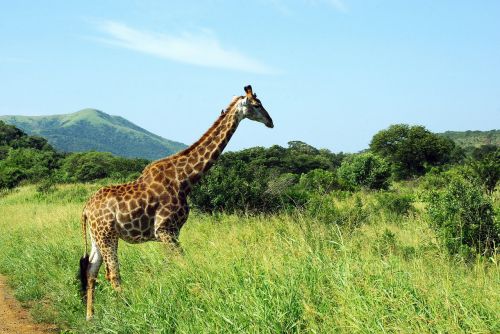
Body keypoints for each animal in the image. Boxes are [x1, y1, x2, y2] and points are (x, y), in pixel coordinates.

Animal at [79, 85, 274, 320]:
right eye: (257, 104)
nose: (271, 122)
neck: (185, 179)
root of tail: (86, 209)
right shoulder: (165, 229)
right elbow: (183, 263)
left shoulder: (172, 232)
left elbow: (170, 266)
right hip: (107, 235)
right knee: (113, 273)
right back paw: (124, 310)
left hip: (97, 236)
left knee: (91, 270)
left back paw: (90, 316)